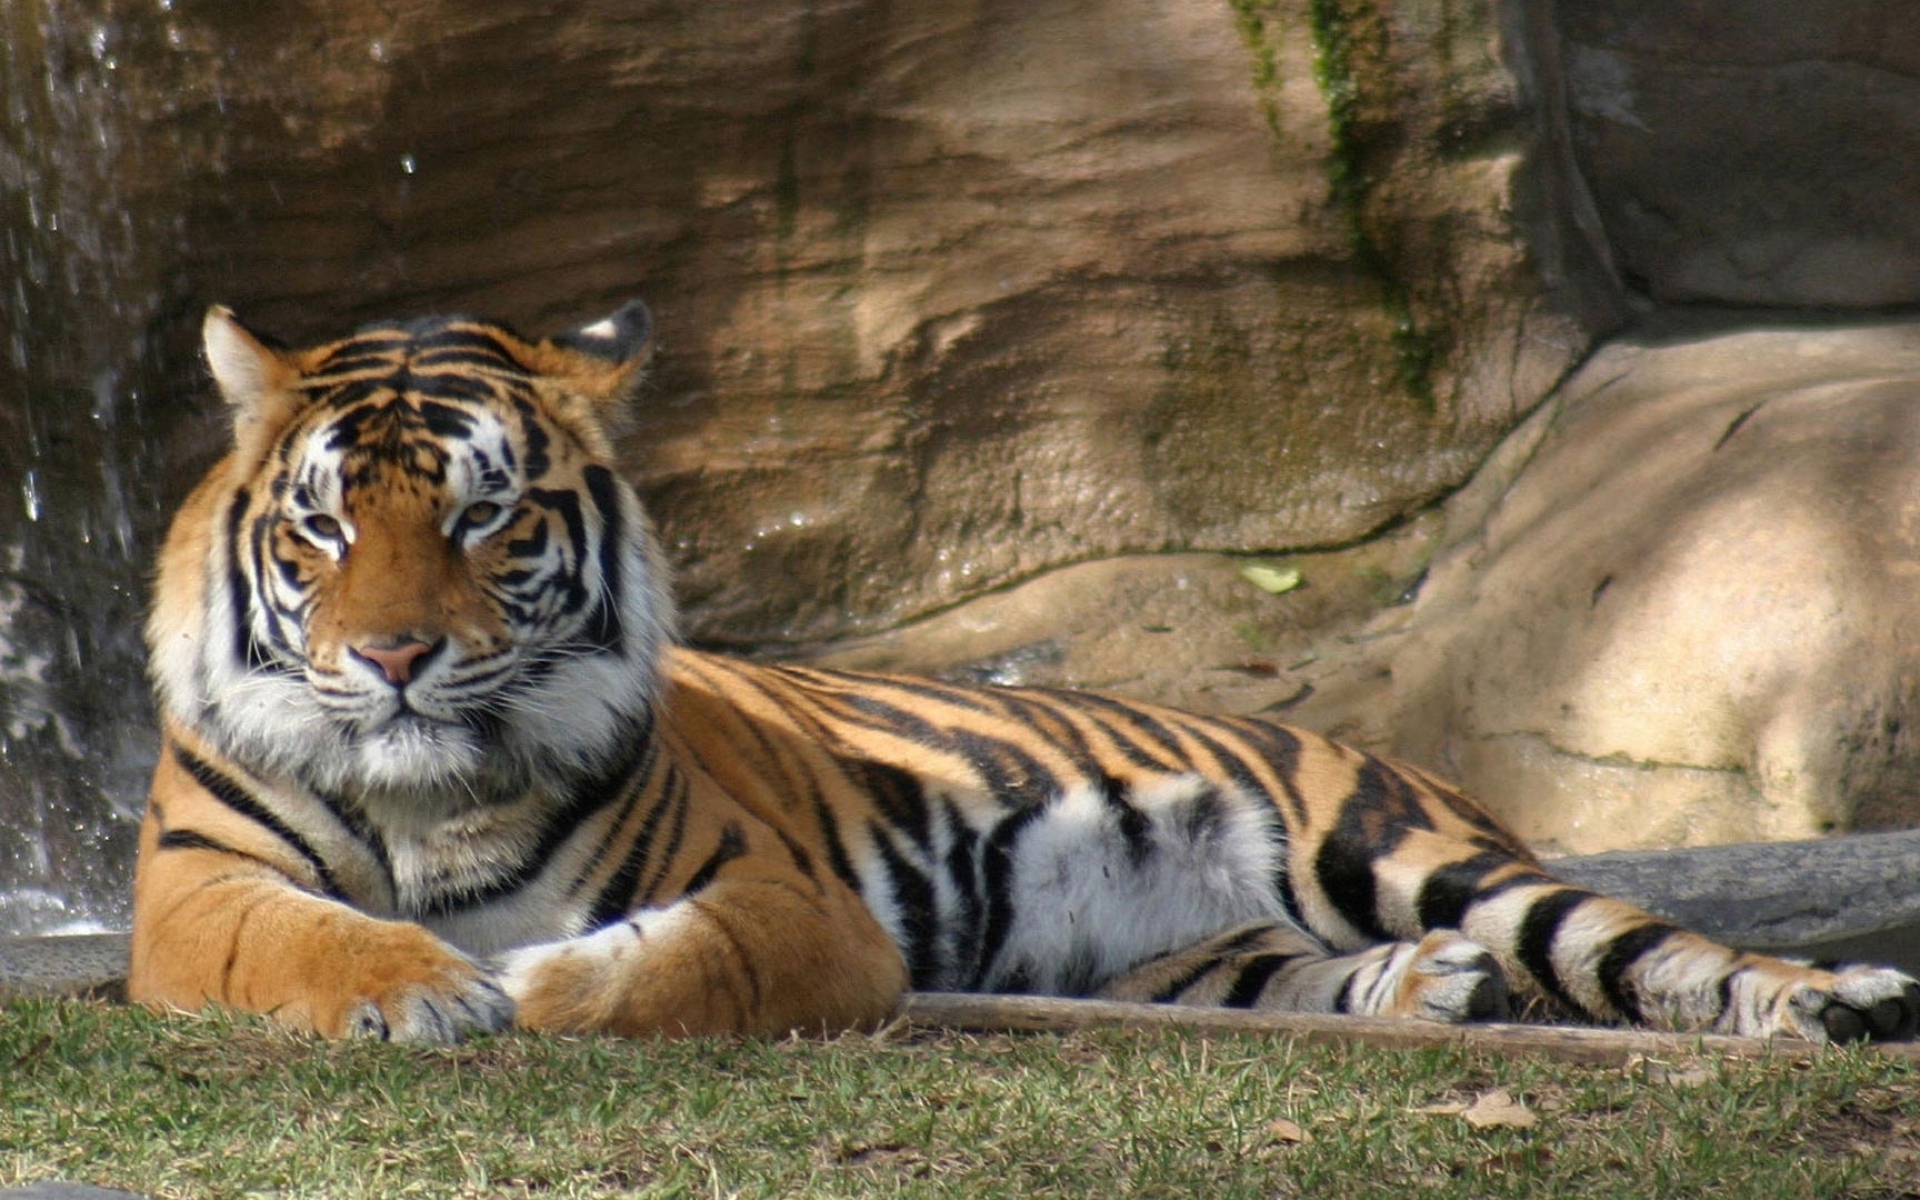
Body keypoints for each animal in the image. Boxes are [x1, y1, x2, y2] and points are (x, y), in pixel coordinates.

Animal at [128, 298, 1920, 1046]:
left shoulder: (779, 897)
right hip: (1194, 956)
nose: (396, 657)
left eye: (487, 516)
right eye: (324, 526)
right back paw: (1430, 994)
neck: (428, 794)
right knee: (1313, 974)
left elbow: (658, 964)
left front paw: (535, 985)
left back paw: (1834, 1001)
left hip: (1405, 847)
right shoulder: (192, 892)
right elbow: (306, 939)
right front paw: (428, 989)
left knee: (1649, 948)